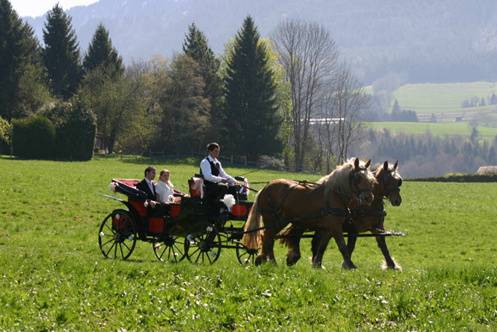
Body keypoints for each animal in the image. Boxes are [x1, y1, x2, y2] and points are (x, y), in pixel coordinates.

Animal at [241, 157, 376, 268]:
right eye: (358, 178)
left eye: (370, 180)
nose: (369, 198)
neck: (334, 195)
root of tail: (265, 187)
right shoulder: (335, 227)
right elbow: (342, 246)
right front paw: (350, 265)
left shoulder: (328, 229)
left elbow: (322, 247)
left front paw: (317, 265)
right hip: (273, 220)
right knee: (267, 237)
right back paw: (270, 262)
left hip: (280, 221)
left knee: (268, 237)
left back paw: (263, 260)